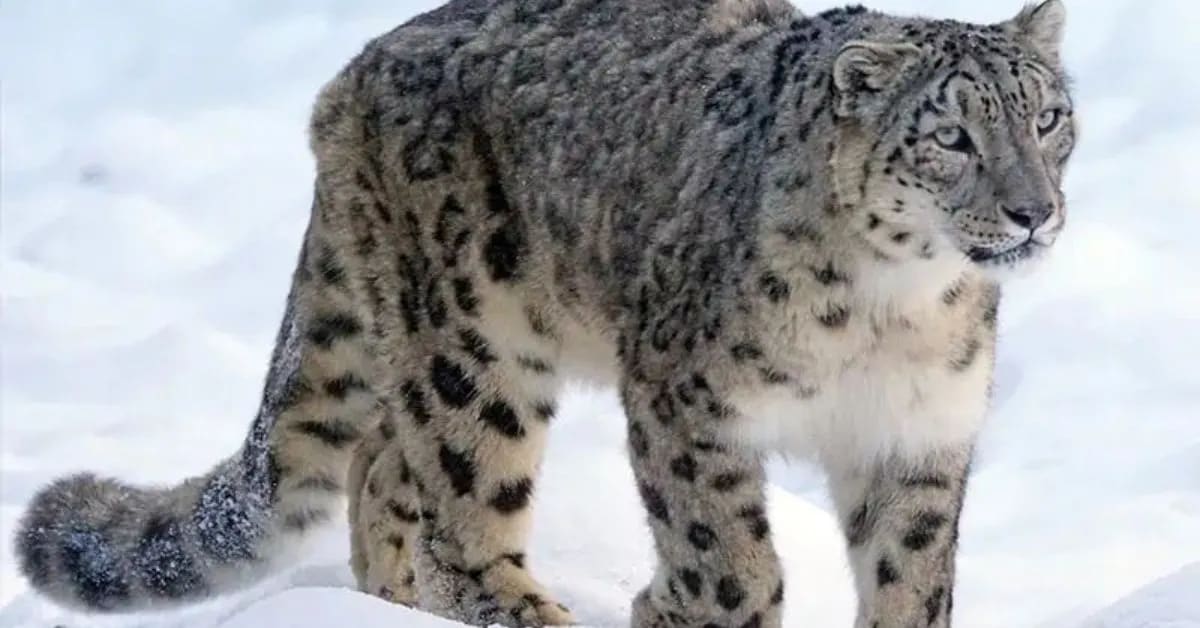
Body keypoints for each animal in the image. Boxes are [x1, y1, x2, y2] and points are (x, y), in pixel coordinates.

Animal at [14, 1, 1075, 627]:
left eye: (1049, 117)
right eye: (952, 135)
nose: (1035, 209)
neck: (897, 313)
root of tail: (352, 74)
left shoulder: (918, 435)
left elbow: (912, 578)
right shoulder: (686, 401)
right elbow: (726, 553)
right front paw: (672, 605)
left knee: (381, 464)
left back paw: (393, 601)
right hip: (472, 342)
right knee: (458, 501)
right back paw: (512, 608)